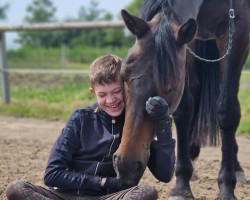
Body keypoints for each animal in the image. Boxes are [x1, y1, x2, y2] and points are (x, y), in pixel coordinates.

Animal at [114, 0, 250, 199]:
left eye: (169, 86)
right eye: (123, 75)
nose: (126, 165)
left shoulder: (238, 29)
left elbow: (226, 110)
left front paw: (226, 186)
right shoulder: (187, 42)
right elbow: (184, 110)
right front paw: (182, 185)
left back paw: (237, 168)